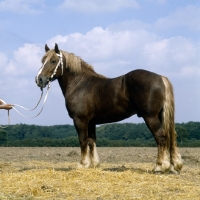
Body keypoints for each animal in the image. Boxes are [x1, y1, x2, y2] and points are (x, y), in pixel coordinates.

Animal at [35, 43, 182, 173]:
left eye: (53, 61)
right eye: (42, 61)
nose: (39, 79)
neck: (79, 84)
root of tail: (160, 78)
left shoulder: (80, 120)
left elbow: (83, 141)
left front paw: (82, 164)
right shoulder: (91, 122)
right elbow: (91, 141)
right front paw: (93, 164)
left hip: (150, 117)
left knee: (161, 136)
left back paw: (159, 166)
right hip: (159, 116)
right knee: (169, 135)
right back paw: (172, 165)